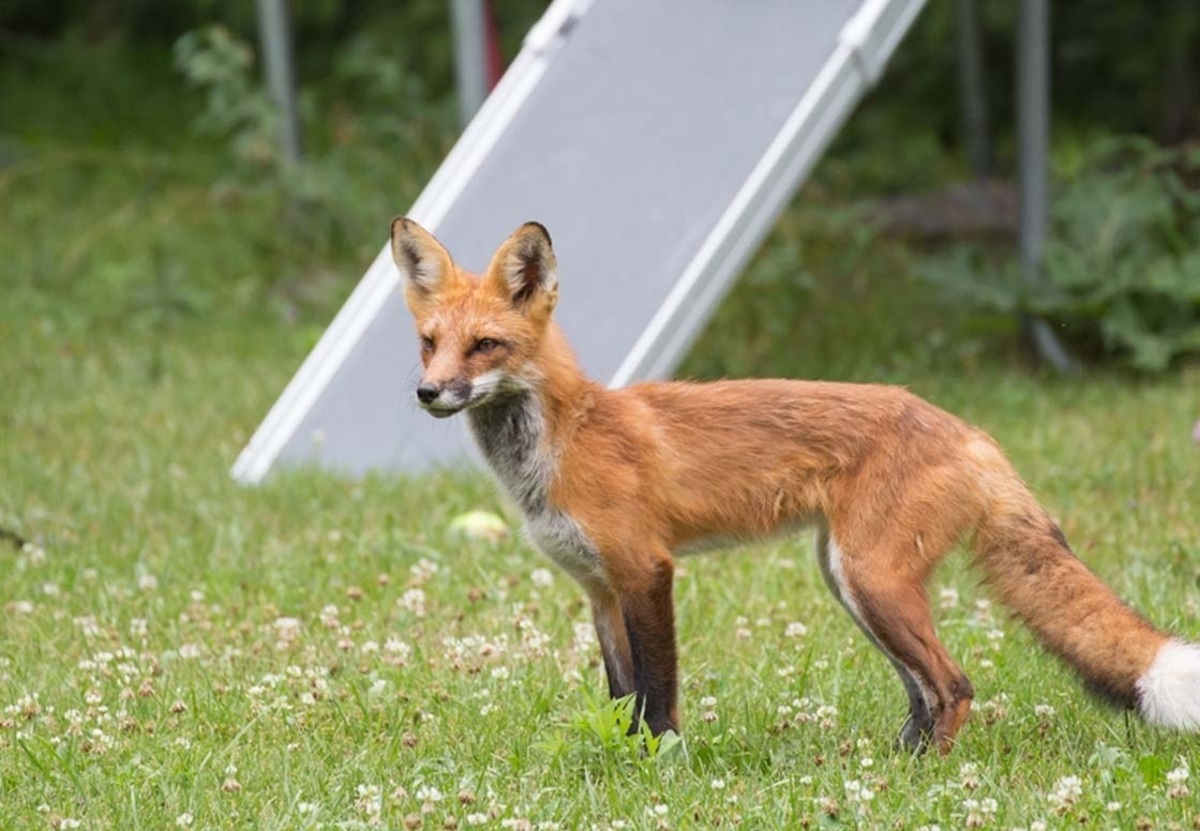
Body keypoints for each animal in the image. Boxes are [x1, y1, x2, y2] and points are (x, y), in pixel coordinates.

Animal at [393, 216, 1200, 754]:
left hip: (870, 578)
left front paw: (662, 768)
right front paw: (624, 763)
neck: (563, 442)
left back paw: (925, 777)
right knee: (923, 690)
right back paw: (893, 766)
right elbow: (622, 696)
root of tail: (969, 430)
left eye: (486, 345)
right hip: (849, 581)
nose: (428, 393)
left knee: (955, 685)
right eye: (429, 344)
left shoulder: (646, 570)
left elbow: (659, 693)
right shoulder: (597, 588)